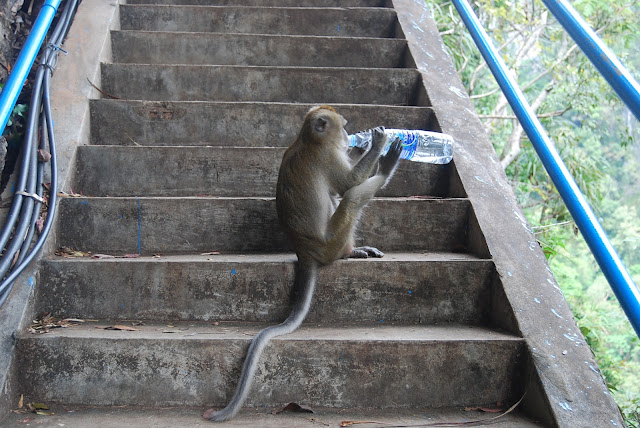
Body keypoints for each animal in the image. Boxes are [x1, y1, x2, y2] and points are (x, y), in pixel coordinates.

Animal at [202, 104, 402, 422]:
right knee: (350, 198)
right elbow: (348, 184)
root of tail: (305, 253)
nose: (349, 137)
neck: (308, 140)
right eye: (344, 125)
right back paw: (385, 168)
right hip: (330, 242)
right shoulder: (327, 157)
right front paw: (378, 141)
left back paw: (353, 251)